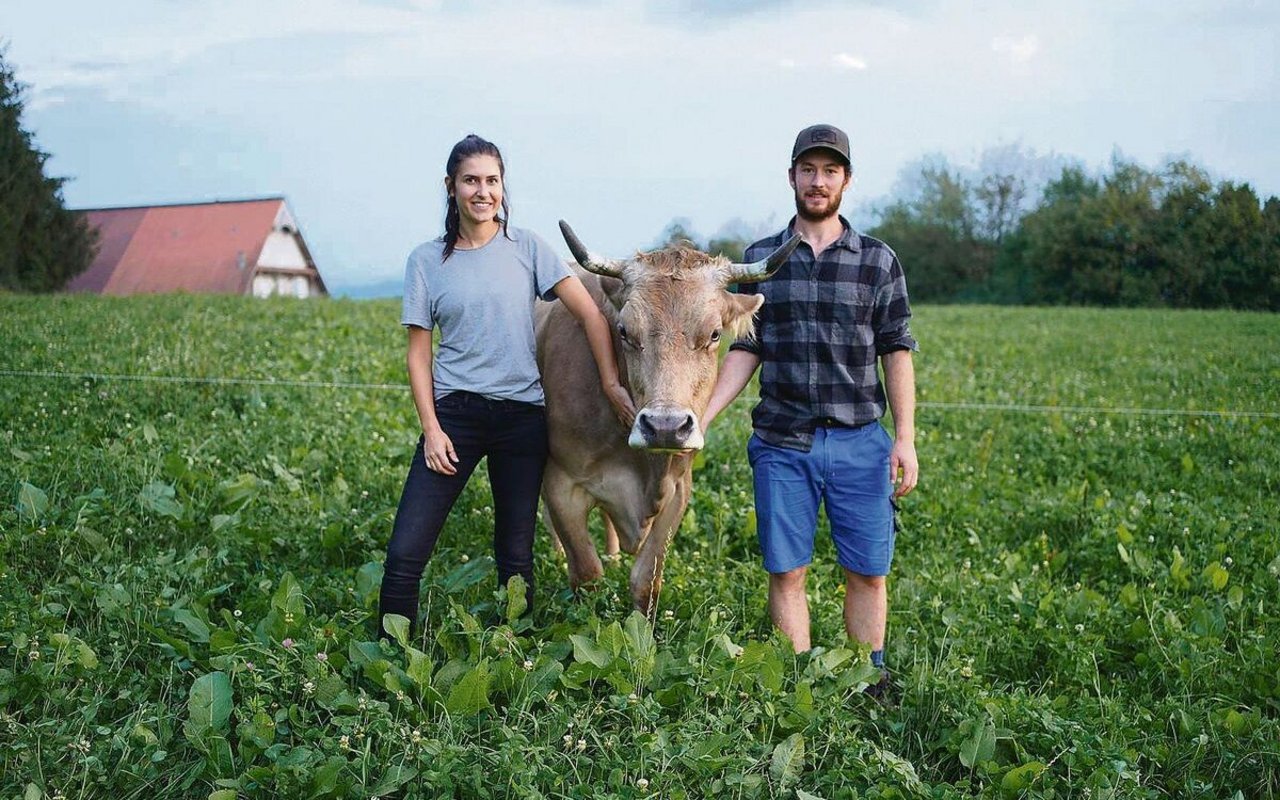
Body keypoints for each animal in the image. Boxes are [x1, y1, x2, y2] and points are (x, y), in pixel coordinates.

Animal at [532, 221, 798, 614]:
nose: (665, 427)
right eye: (625, 331)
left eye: (714, 333)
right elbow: (586, 573)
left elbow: (646, 581)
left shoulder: (677, 489)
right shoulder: (561, 482)